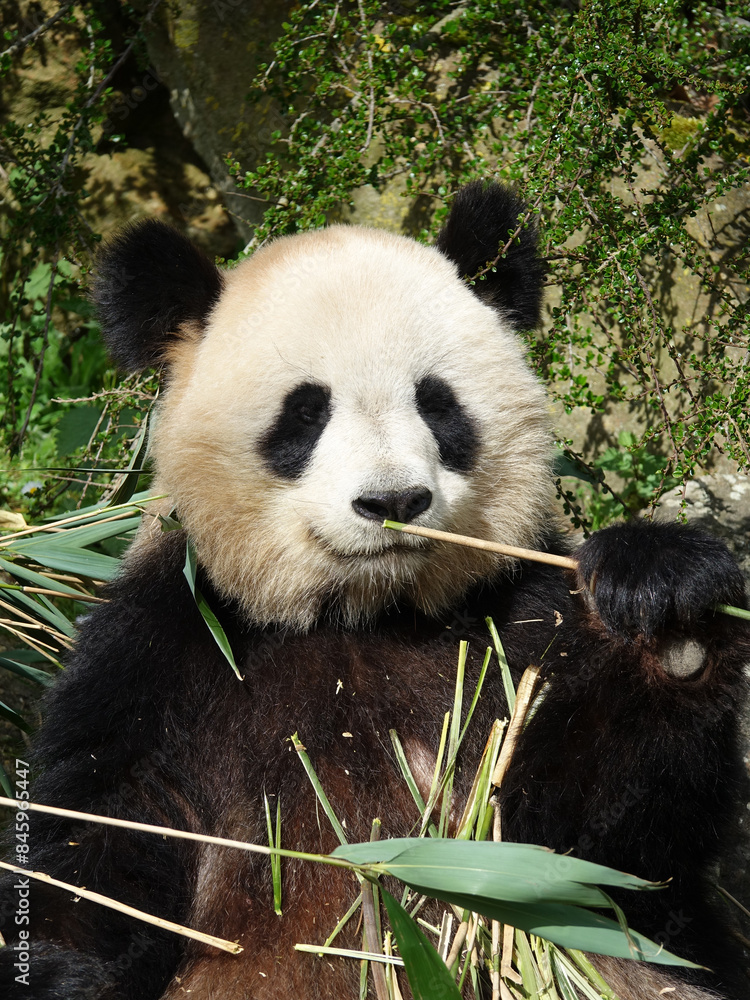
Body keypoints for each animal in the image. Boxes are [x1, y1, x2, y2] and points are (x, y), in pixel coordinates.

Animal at [0, 182, 748, 1000]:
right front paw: (56, 968)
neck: (363, 615)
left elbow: (602, 866)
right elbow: (102, 853)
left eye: (437, 403)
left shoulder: (520, 627)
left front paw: (666, 609)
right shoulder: (163, 656)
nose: (393, 501)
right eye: (305, 411)